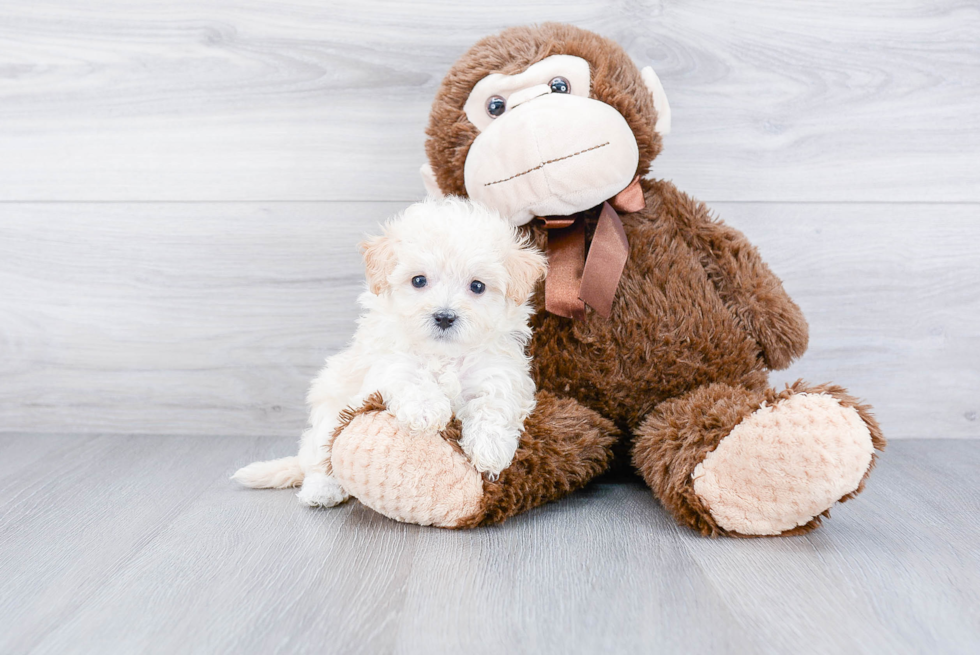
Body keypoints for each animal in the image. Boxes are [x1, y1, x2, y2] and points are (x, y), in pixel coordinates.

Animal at [234, 197, 548, 510]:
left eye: (478, 286)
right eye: (419, 281)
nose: (444, 316)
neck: (443, 355)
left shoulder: (498, 372)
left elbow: (494, 404)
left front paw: (490, 448)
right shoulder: (385, 361)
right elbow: (407, 375)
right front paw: (426, 409)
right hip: (327, 420)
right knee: (321, 459)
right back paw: (322, 489)